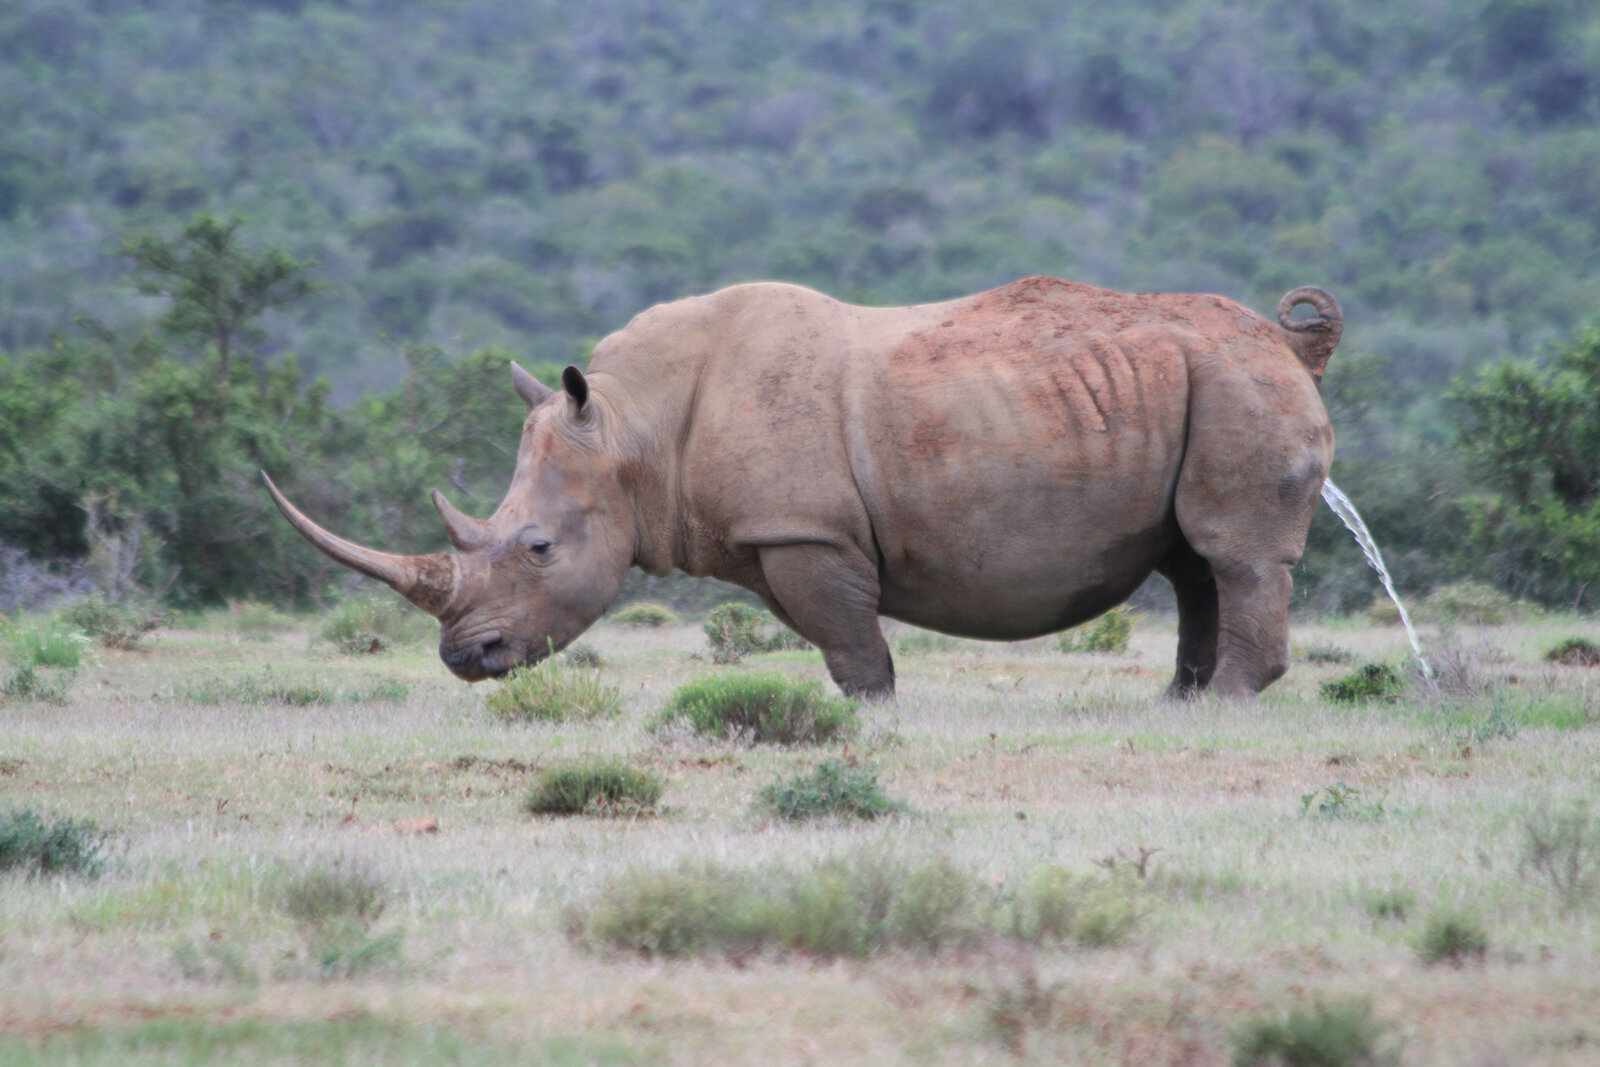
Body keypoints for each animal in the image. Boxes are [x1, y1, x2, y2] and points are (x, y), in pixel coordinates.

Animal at [264, 275, 1341, 699]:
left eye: (536, 548)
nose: (465, 658)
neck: (634, 428)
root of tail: (1288, 337)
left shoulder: (804, 532)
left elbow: (854, 651)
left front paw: (871, 720)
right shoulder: (780, 534)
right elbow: (840, 643)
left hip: (1238, 382)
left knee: (1233, 552)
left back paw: (1223, 703)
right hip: (1198, 384)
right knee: (1191, 560)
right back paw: (1182, 701)